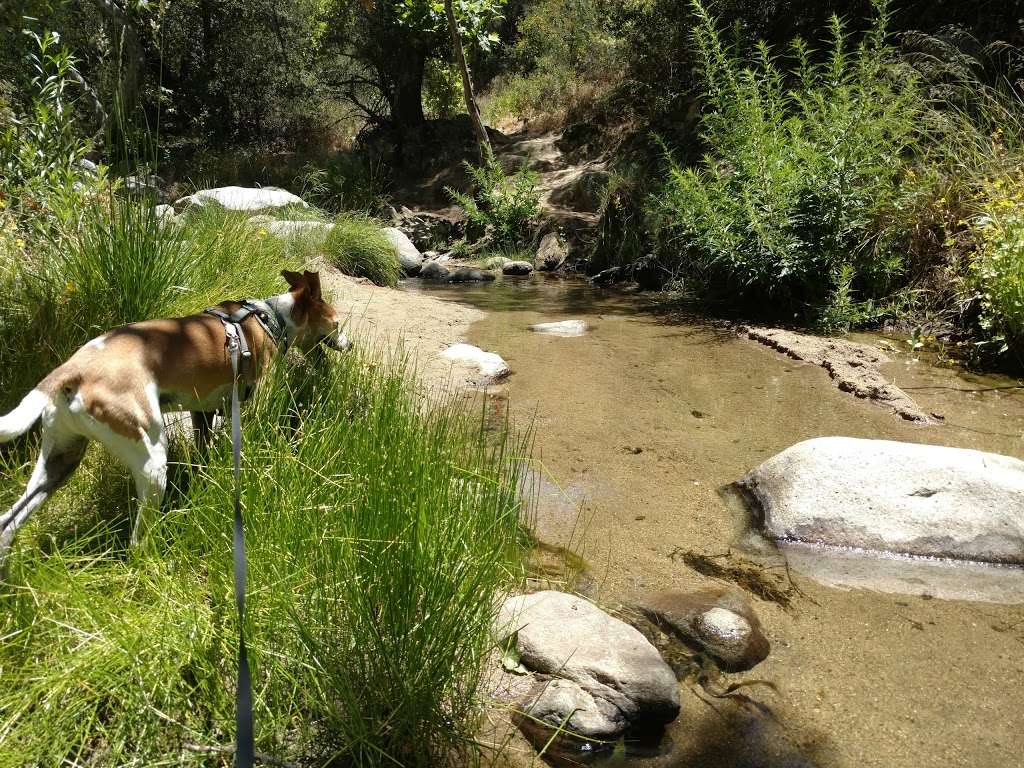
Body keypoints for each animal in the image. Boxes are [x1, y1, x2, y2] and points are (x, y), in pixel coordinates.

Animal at [0, 270, 350, 565]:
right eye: (336, 323)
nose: (349, 344)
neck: (270, 318)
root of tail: (72, 368)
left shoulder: (202, 412)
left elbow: (203, 456)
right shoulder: (256, 404)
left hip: (59, 460)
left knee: (7, 524)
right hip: (152, 461)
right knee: (138, 543)